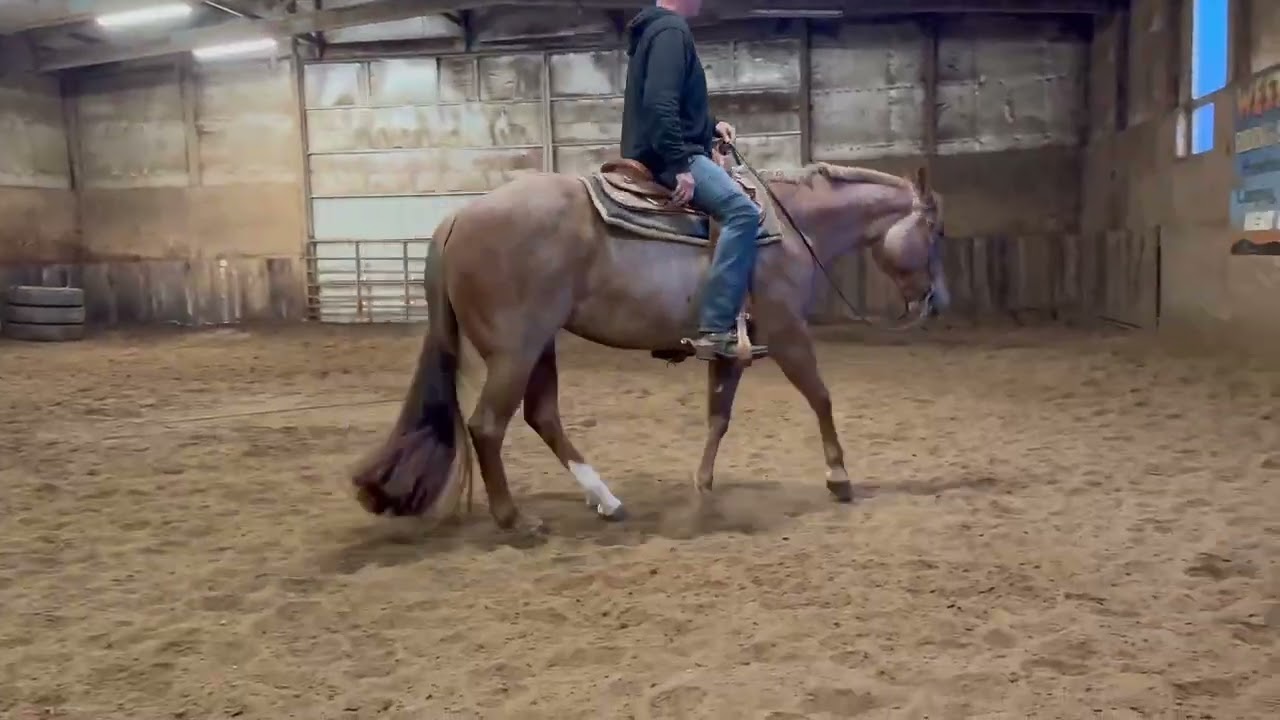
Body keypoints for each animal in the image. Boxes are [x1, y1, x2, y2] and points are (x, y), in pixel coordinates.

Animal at [350, 149, 950, 533]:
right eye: (936, 230)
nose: (938, 301)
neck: (787, 224)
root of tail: (457, 216)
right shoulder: (786, 333)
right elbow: (821, 396)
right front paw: (839, 478)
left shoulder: (732, 349)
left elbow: (718, 417)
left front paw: (702, 488)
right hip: (515, 350)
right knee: (487, 426)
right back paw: (516, 520)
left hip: (540, 345)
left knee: (542, 417)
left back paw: (606, 500)